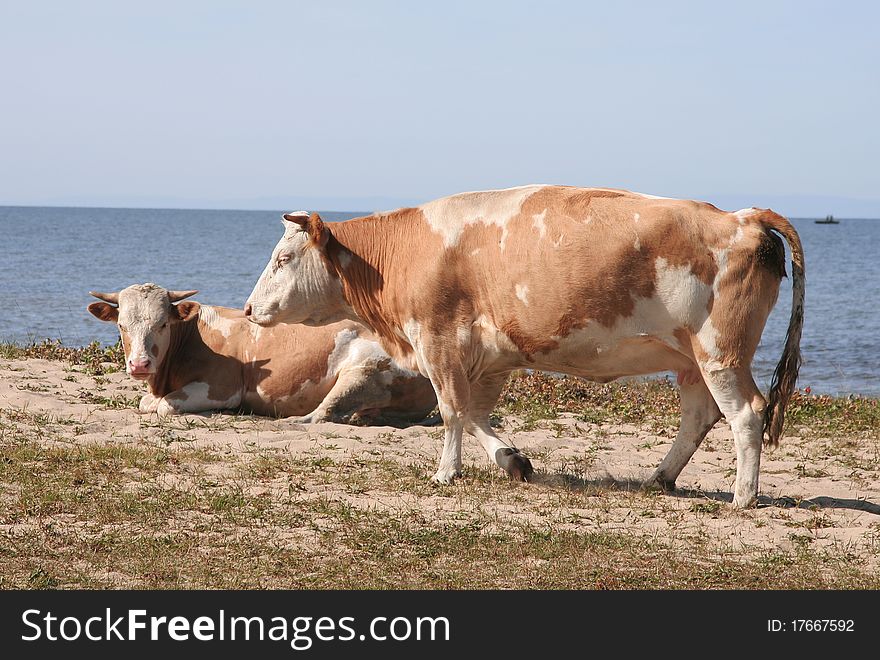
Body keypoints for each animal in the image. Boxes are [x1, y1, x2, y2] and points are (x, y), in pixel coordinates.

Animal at [86, 284, 436, 422]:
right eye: (121, 325)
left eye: (162, 324)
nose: (140, 364)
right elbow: (147, 403)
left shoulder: (223, 387)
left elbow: (163, 407)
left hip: (363, 371)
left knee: (321, 414)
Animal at [242, 186, 804, 510]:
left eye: (284, 258)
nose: (248, 309)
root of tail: (743, 217)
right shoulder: (490, 355)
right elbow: (473, 412)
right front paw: (512, 460)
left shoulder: (438, 339)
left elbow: (451, 410)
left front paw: (446, 472)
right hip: (689, 358)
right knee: (699, 415)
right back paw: (660, 477)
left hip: (720, 352)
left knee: (746, 413)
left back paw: (743, 496)